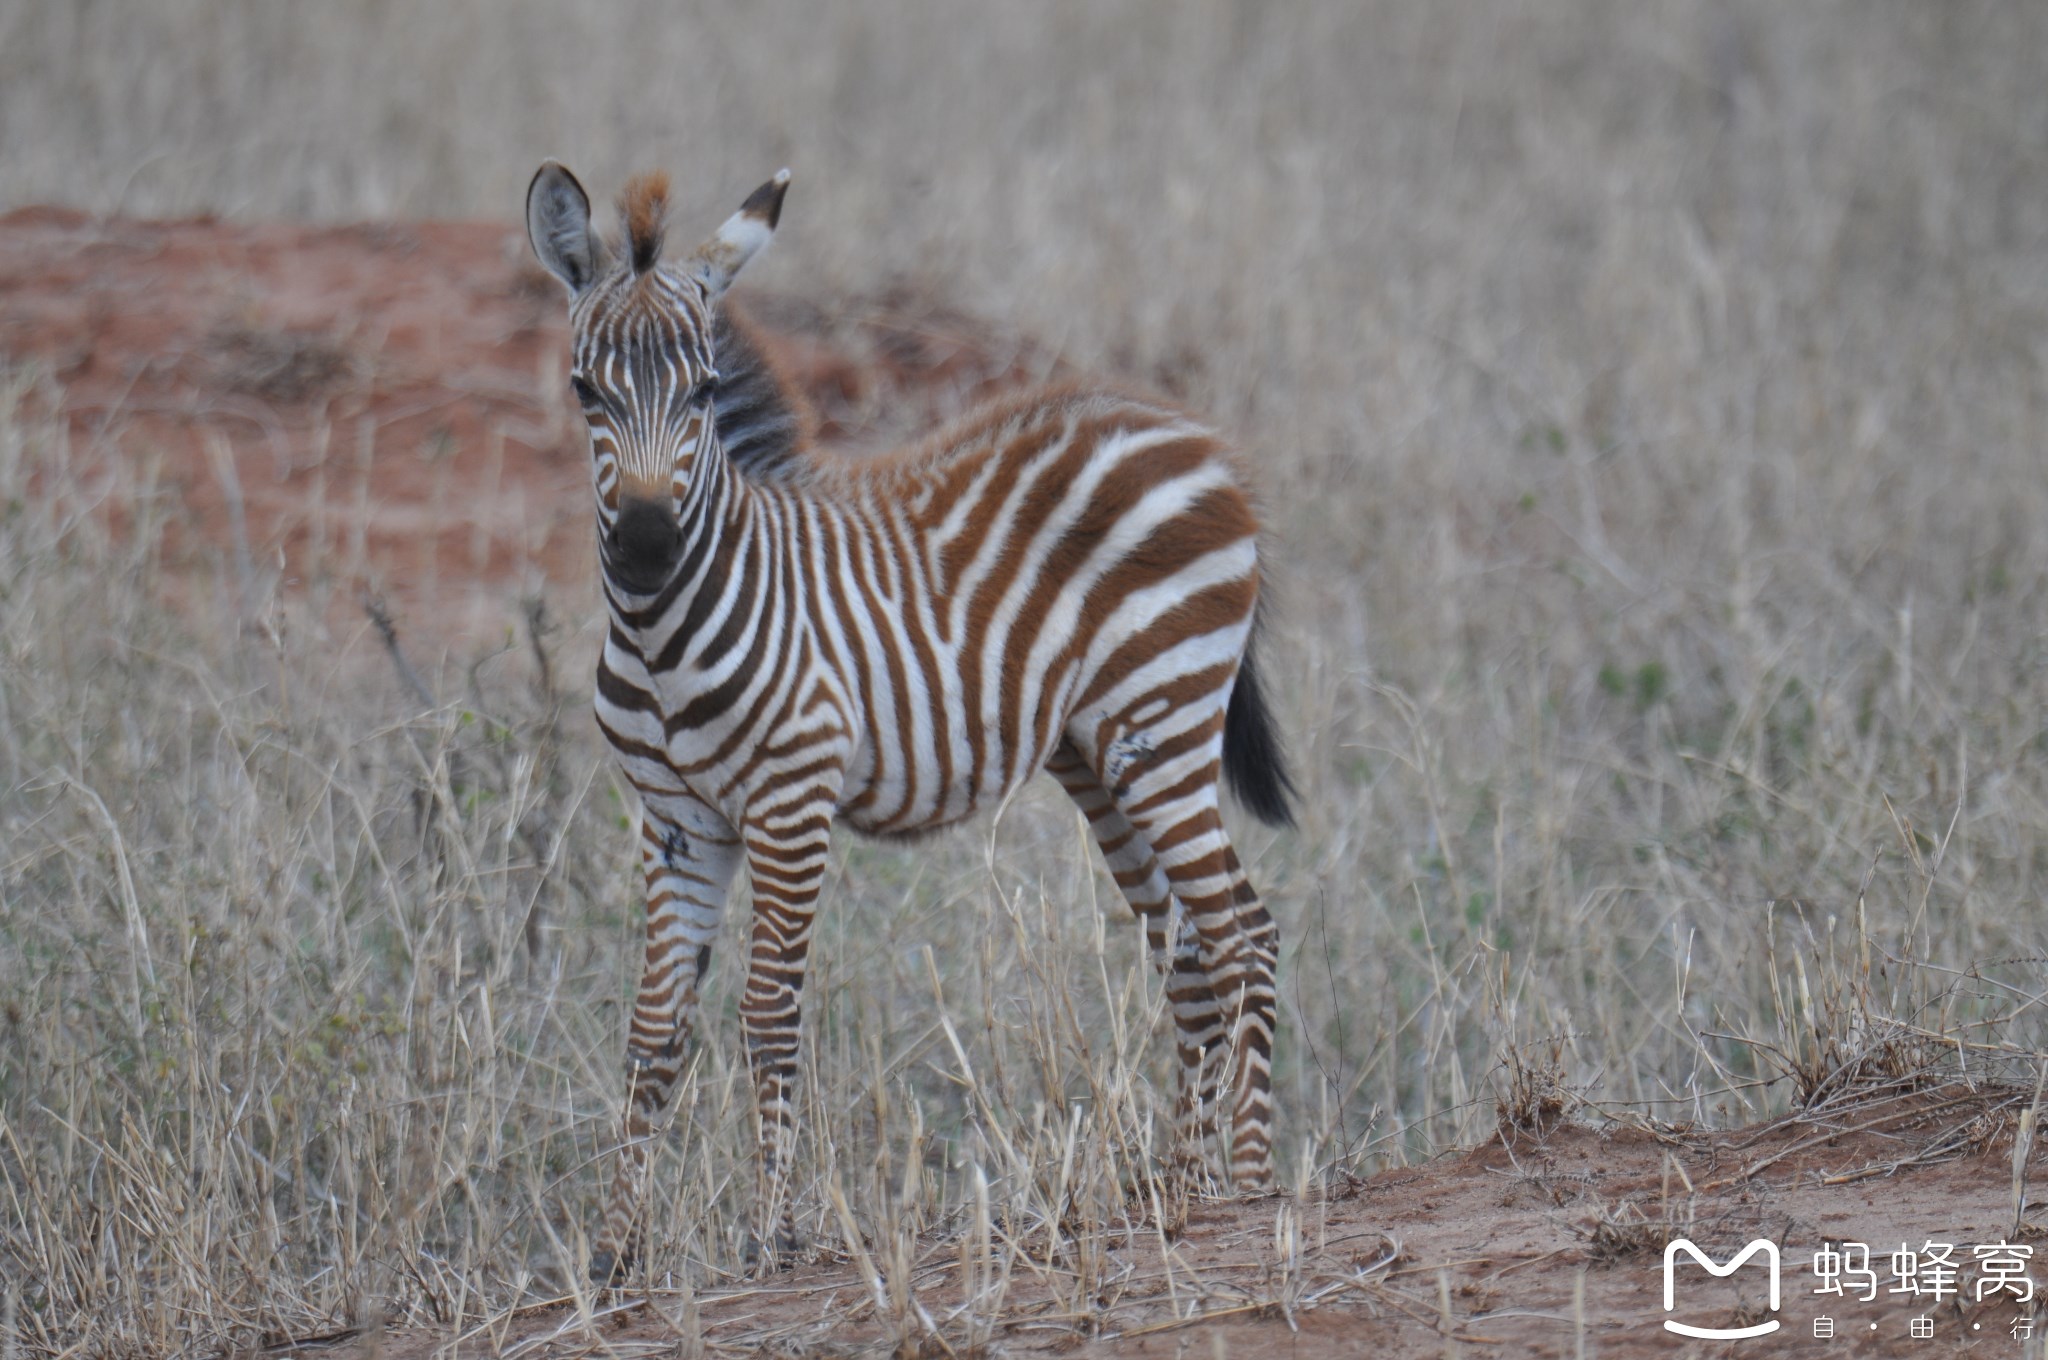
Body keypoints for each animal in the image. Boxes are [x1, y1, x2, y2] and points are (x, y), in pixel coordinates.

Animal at [528, 161, 1294, 1286]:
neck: (666, 631)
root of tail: (1198, 441)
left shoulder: (789, 801)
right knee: (1188, 947)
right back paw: (1178, 1187)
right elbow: (654, 1032)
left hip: (1165, 714)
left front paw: (772, 1235)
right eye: (587, 390)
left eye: (704, 391)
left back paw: (1248, 1187)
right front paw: (616, 1255)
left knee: (1244, 933)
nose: (647, 547)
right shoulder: (675, 821)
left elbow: (768, 1014)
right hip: (1103, 754)